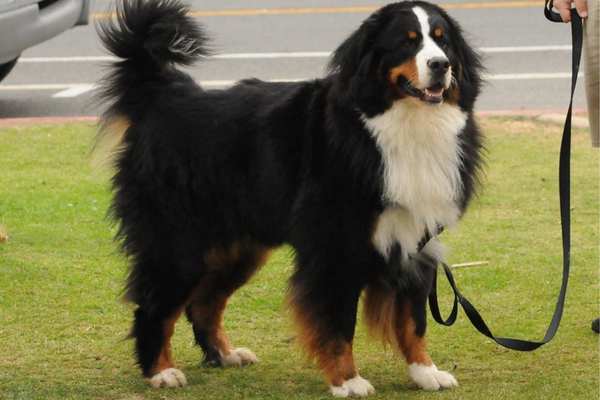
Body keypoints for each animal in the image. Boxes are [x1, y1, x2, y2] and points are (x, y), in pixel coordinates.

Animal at [96, 0, 486, 394]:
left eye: (443, 41)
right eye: (407, 42)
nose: (440, 65)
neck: (404, 127)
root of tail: (162, 94)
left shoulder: (416, 239)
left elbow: (413, 319)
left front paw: (426, 372)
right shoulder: (334, 248)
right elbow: (338, 323)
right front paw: (347, 380)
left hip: (238, 247)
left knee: (204, 302)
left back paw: (225, 354)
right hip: (178, 244)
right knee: (154, 306)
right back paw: (160, 371)